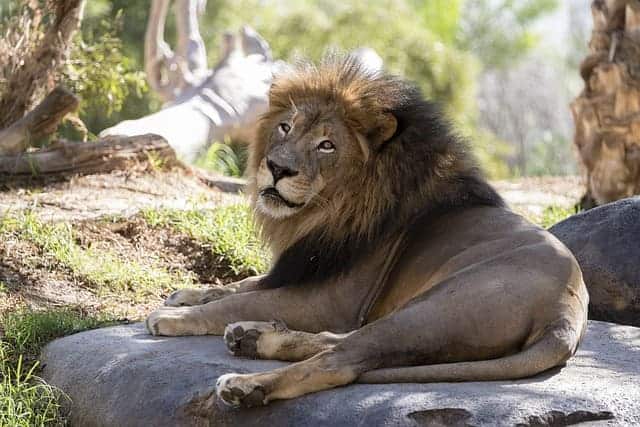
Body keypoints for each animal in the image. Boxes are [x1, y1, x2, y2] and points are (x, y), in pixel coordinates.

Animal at [146, 55, 589, 408]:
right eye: (286, 127)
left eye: (327, 145)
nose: (276, 167)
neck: (327, 212)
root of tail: (565, 315)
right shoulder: (301, 268)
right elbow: (243, 285)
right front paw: (188, 293)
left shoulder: (331, 300)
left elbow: (237, 301)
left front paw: (172, 316)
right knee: (337, 342)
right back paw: (253, 338)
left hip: (430, 308)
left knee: (341, 359)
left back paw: (245, 383)